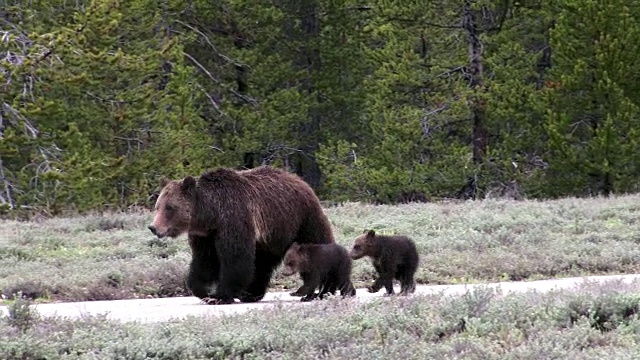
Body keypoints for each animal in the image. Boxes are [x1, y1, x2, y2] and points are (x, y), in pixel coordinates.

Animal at [147, 166, 332, 304]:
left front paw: (219, 296)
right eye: (158, 206)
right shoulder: (206, 236)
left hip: (302, 218)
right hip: (272, 235)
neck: (210, 215)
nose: (153, 227)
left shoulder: (234, 219)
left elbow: (235, 258)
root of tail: (300, 179)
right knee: (262, 263)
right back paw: (251, 294)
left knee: (317, 245)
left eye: (169, 207)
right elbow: (204, 261)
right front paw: (202, 290)